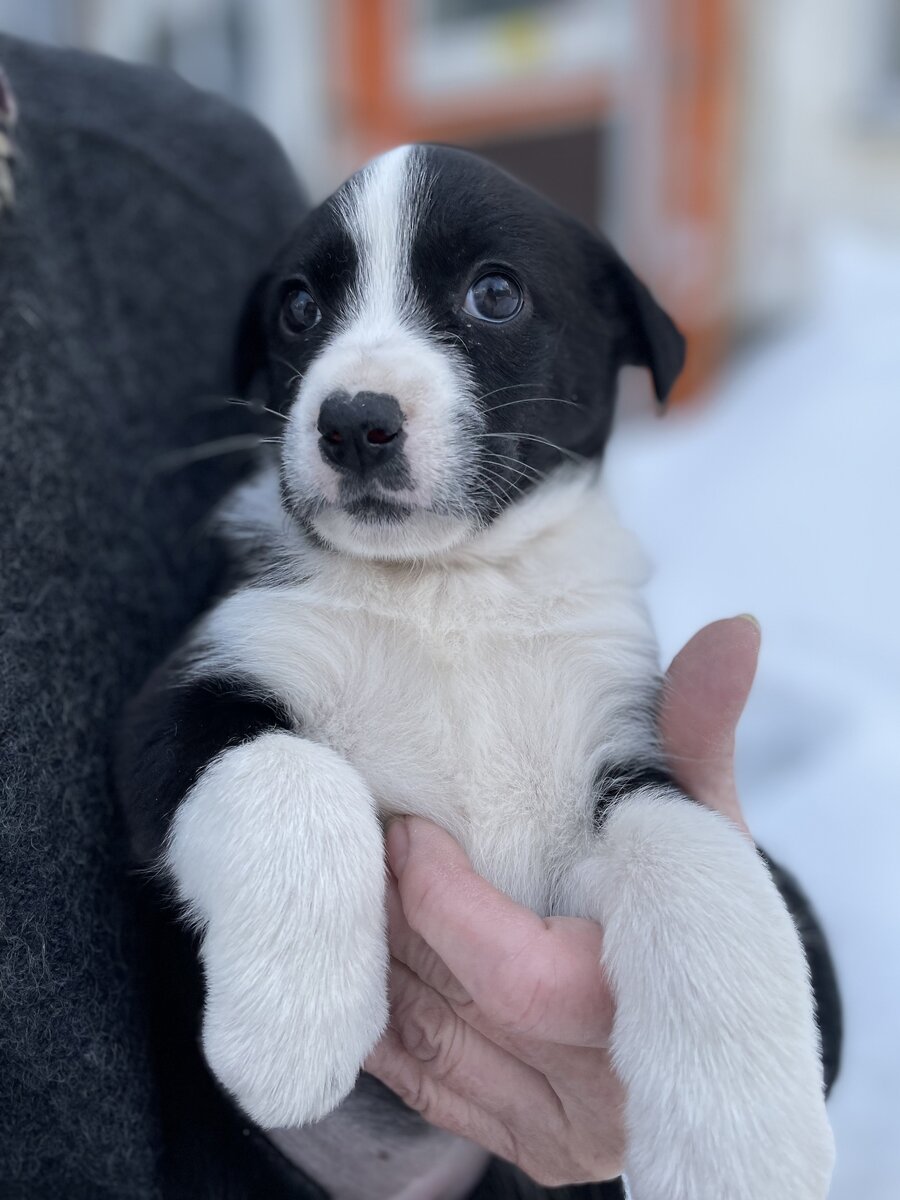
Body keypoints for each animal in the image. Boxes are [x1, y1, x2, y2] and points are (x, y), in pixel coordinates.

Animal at [118, 145, 835, 1199]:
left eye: (494, 293)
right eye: (298, 308)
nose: (354, 423)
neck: (449, 586)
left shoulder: (620, 754)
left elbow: (703, 863)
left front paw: (745, 1141)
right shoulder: (178, 698)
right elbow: (289, 770)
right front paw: (292, 1026)